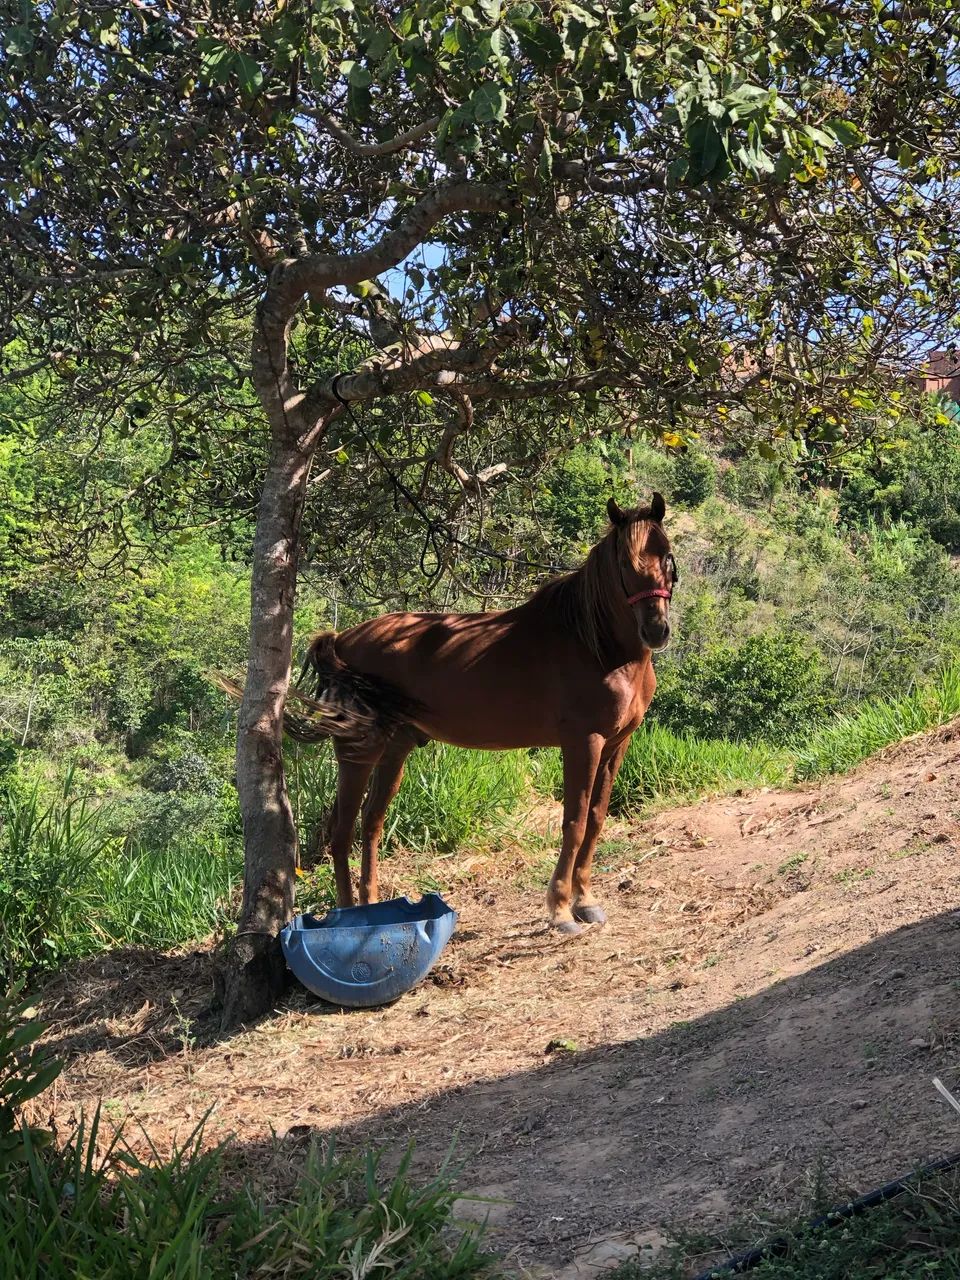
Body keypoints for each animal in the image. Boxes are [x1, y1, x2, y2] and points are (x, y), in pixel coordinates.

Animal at [283, 492, 677, 935]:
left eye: (666, 555)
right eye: (625, 563)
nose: (656, 630)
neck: (597, 646)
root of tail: (342, 639)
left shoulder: (615, 744)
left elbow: (594, 819)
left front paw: (586, 901)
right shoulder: (583, 742)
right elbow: (573, 823)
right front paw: (561, 910)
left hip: (395, 749)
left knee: (371, 823)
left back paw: (371, 905)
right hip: (357, 751)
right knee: (342, 831)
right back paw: (351, 916)